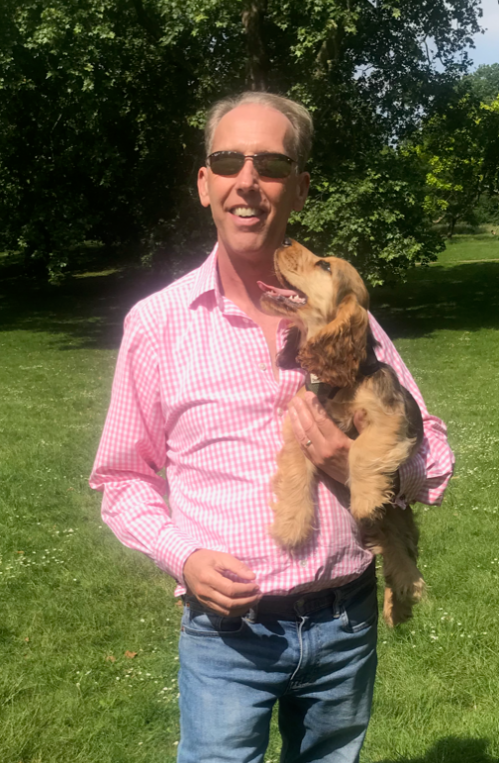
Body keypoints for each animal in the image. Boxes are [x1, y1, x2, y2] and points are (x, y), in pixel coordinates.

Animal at [260, 239, 428, 628]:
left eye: (324, 266)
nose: (285, 239)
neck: (333, 382)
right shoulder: (298, 426)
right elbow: (295, 473)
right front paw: (291, 525)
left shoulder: (388, 419)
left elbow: (362, 451)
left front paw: (365, 498)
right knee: (391, 563)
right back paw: (396, 607)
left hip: (399, 523)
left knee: (403, 561)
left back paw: (408, 593)